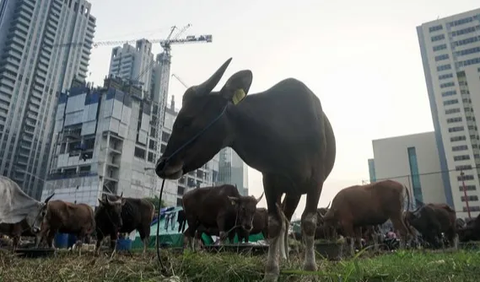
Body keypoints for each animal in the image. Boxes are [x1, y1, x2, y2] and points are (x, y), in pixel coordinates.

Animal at [156, 57, 336, 282]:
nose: (162, 165)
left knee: (290, 221)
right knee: (285, 221)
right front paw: (271, 270)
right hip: (290, 192)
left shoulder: (316, 181)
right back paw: (284, 258)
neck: (288, 130)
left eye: (187, 120)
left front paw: (310, 269)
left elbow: (309, 222)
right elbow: (274, 223)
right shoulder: (270, 179)